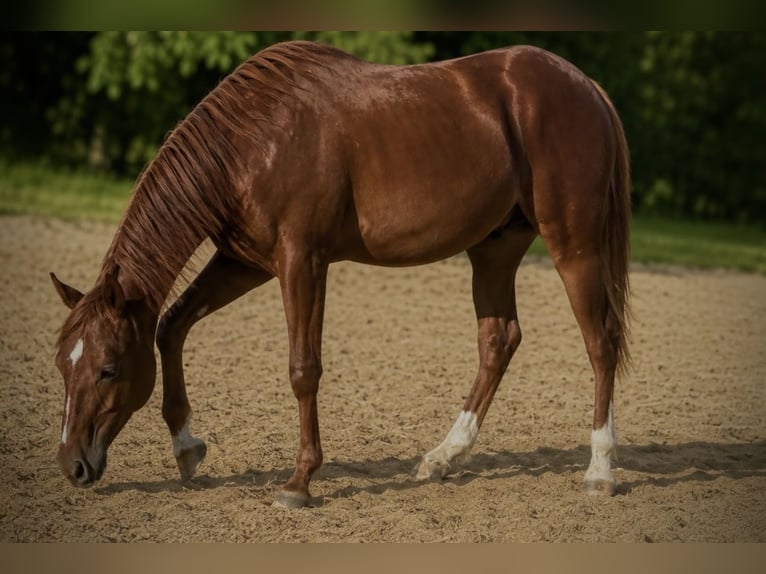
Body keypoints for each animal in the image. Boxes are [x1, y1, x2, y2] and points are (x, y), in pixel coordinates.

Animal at [50, 40, 630, 508]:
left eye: (108, 369)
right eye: (62, 364)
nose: (72, 465)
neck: (254, 141)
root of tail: (586, 88)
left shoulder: (302, 260)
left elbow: (303, 369)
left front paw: (299, 482)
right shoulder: (245, 262)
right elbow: (171, 326)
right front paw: (187, 448)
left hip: (573, 244)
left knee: (600, 343)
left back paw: (599, 470)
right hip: (494, 250)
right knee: (498, 340)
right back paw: (442, 456)